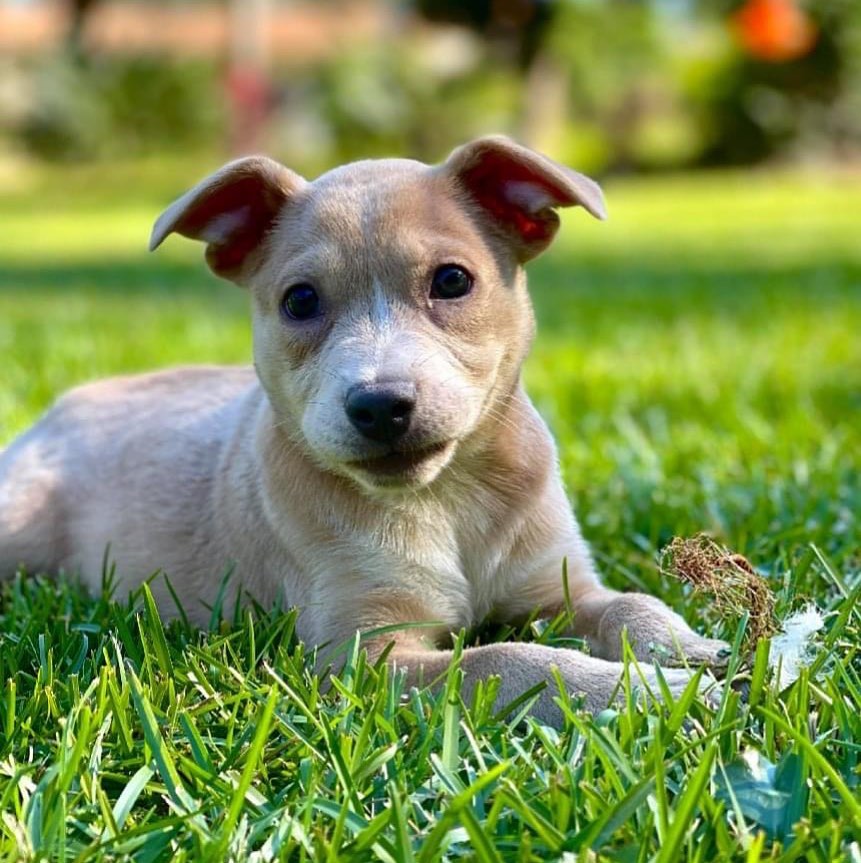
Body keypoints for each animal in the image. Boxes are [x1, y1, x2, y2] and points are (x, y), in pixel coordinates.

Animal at [0, 138, 724, 724]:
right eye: (299, 300)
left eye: (452, 280)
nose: (379, 405)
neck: (447, 498)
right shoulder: (363, 654)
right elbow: (504, 660)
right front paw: (641, 690)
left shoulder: (556, 587)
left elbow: (628, 603)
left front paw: (688, 648)